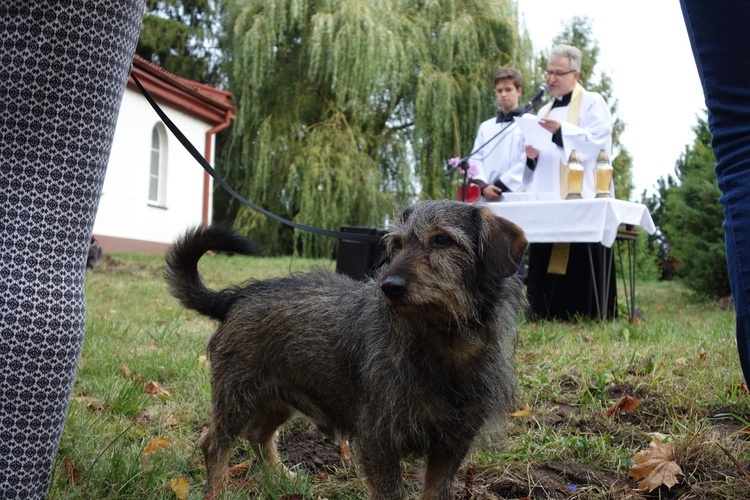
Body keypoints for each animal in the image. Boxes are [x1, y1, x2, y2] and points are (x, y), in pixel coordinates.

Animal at [164, 200, 528, 500]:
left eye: (442, 240)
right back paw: (217, 491)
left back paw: (281, 477)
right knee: (213, 444)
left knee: (258, 435)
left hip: (280, 397)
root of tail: (238, 296)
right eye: (396, 245)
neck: (442, 344)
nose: (389, 287)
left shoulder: (452, 445)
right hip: (236, 397)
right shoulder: (380, 440)